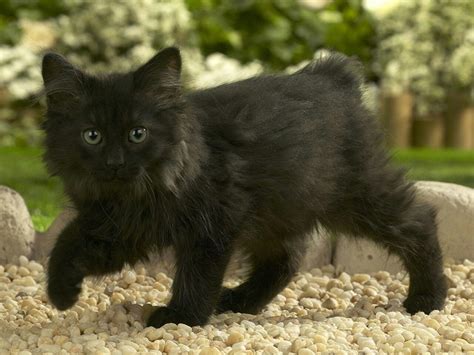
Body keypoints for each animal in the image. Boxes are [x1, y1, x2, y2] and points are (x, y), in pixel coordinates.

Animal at [42, 47, 446, 328]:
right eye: (92, 135)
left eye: (137, 134)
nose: (114, 162)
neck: (133, 195)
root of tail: (331, 76)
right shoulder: (117, 227)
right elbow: (67, 242)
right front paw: (61, 292)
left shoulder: (212, 224)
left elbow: (197, 274)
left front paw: (182, 316)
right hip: (277, 211)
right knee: (286, 259)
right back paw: (240, 302)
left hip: (356, 193)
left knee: (419, 221)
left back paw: (429, 297)